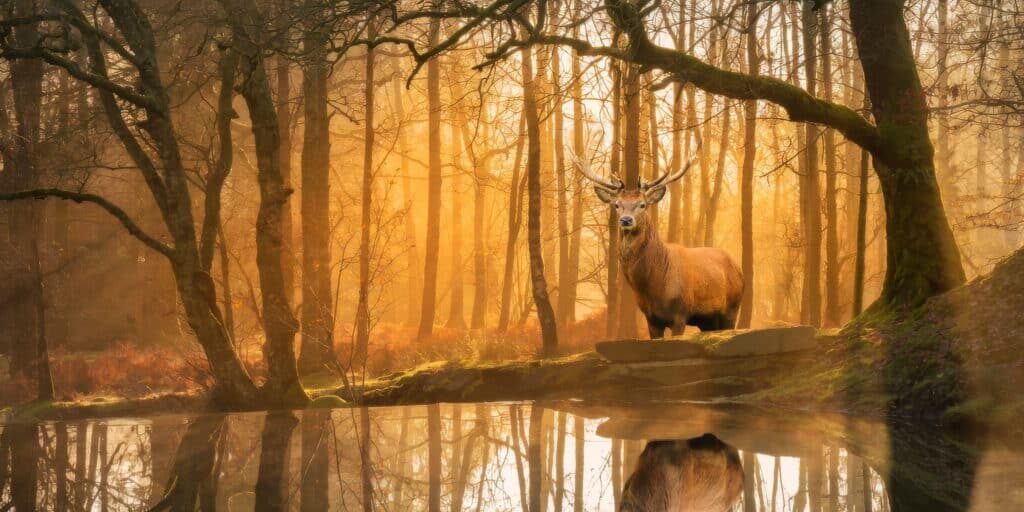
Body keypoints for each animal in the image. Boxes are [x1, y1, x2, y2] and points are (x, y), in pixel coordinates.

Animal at [573, 141, 743, 339]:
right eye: (617, 204)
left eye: (642, 204)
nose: (626, 220)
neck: (654, 287)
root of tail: (738, 268)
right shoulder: (651, 318)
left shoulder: (680, 313)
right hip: (707, 320)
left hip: (732, 308)